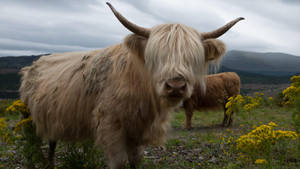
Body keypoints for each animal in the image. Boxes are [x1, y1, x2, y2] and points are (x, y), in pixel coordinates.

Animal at [18, 2, 244, 169]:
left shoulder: (138, 131)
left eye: (193, 57)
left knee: (51, 142)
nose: (175, 86)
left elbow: (135, 160)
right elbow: (119, 162)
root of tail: (34, 64)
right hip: (29, 115)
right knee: (36, 144)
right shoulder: (111, 127)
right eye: (155, 56)